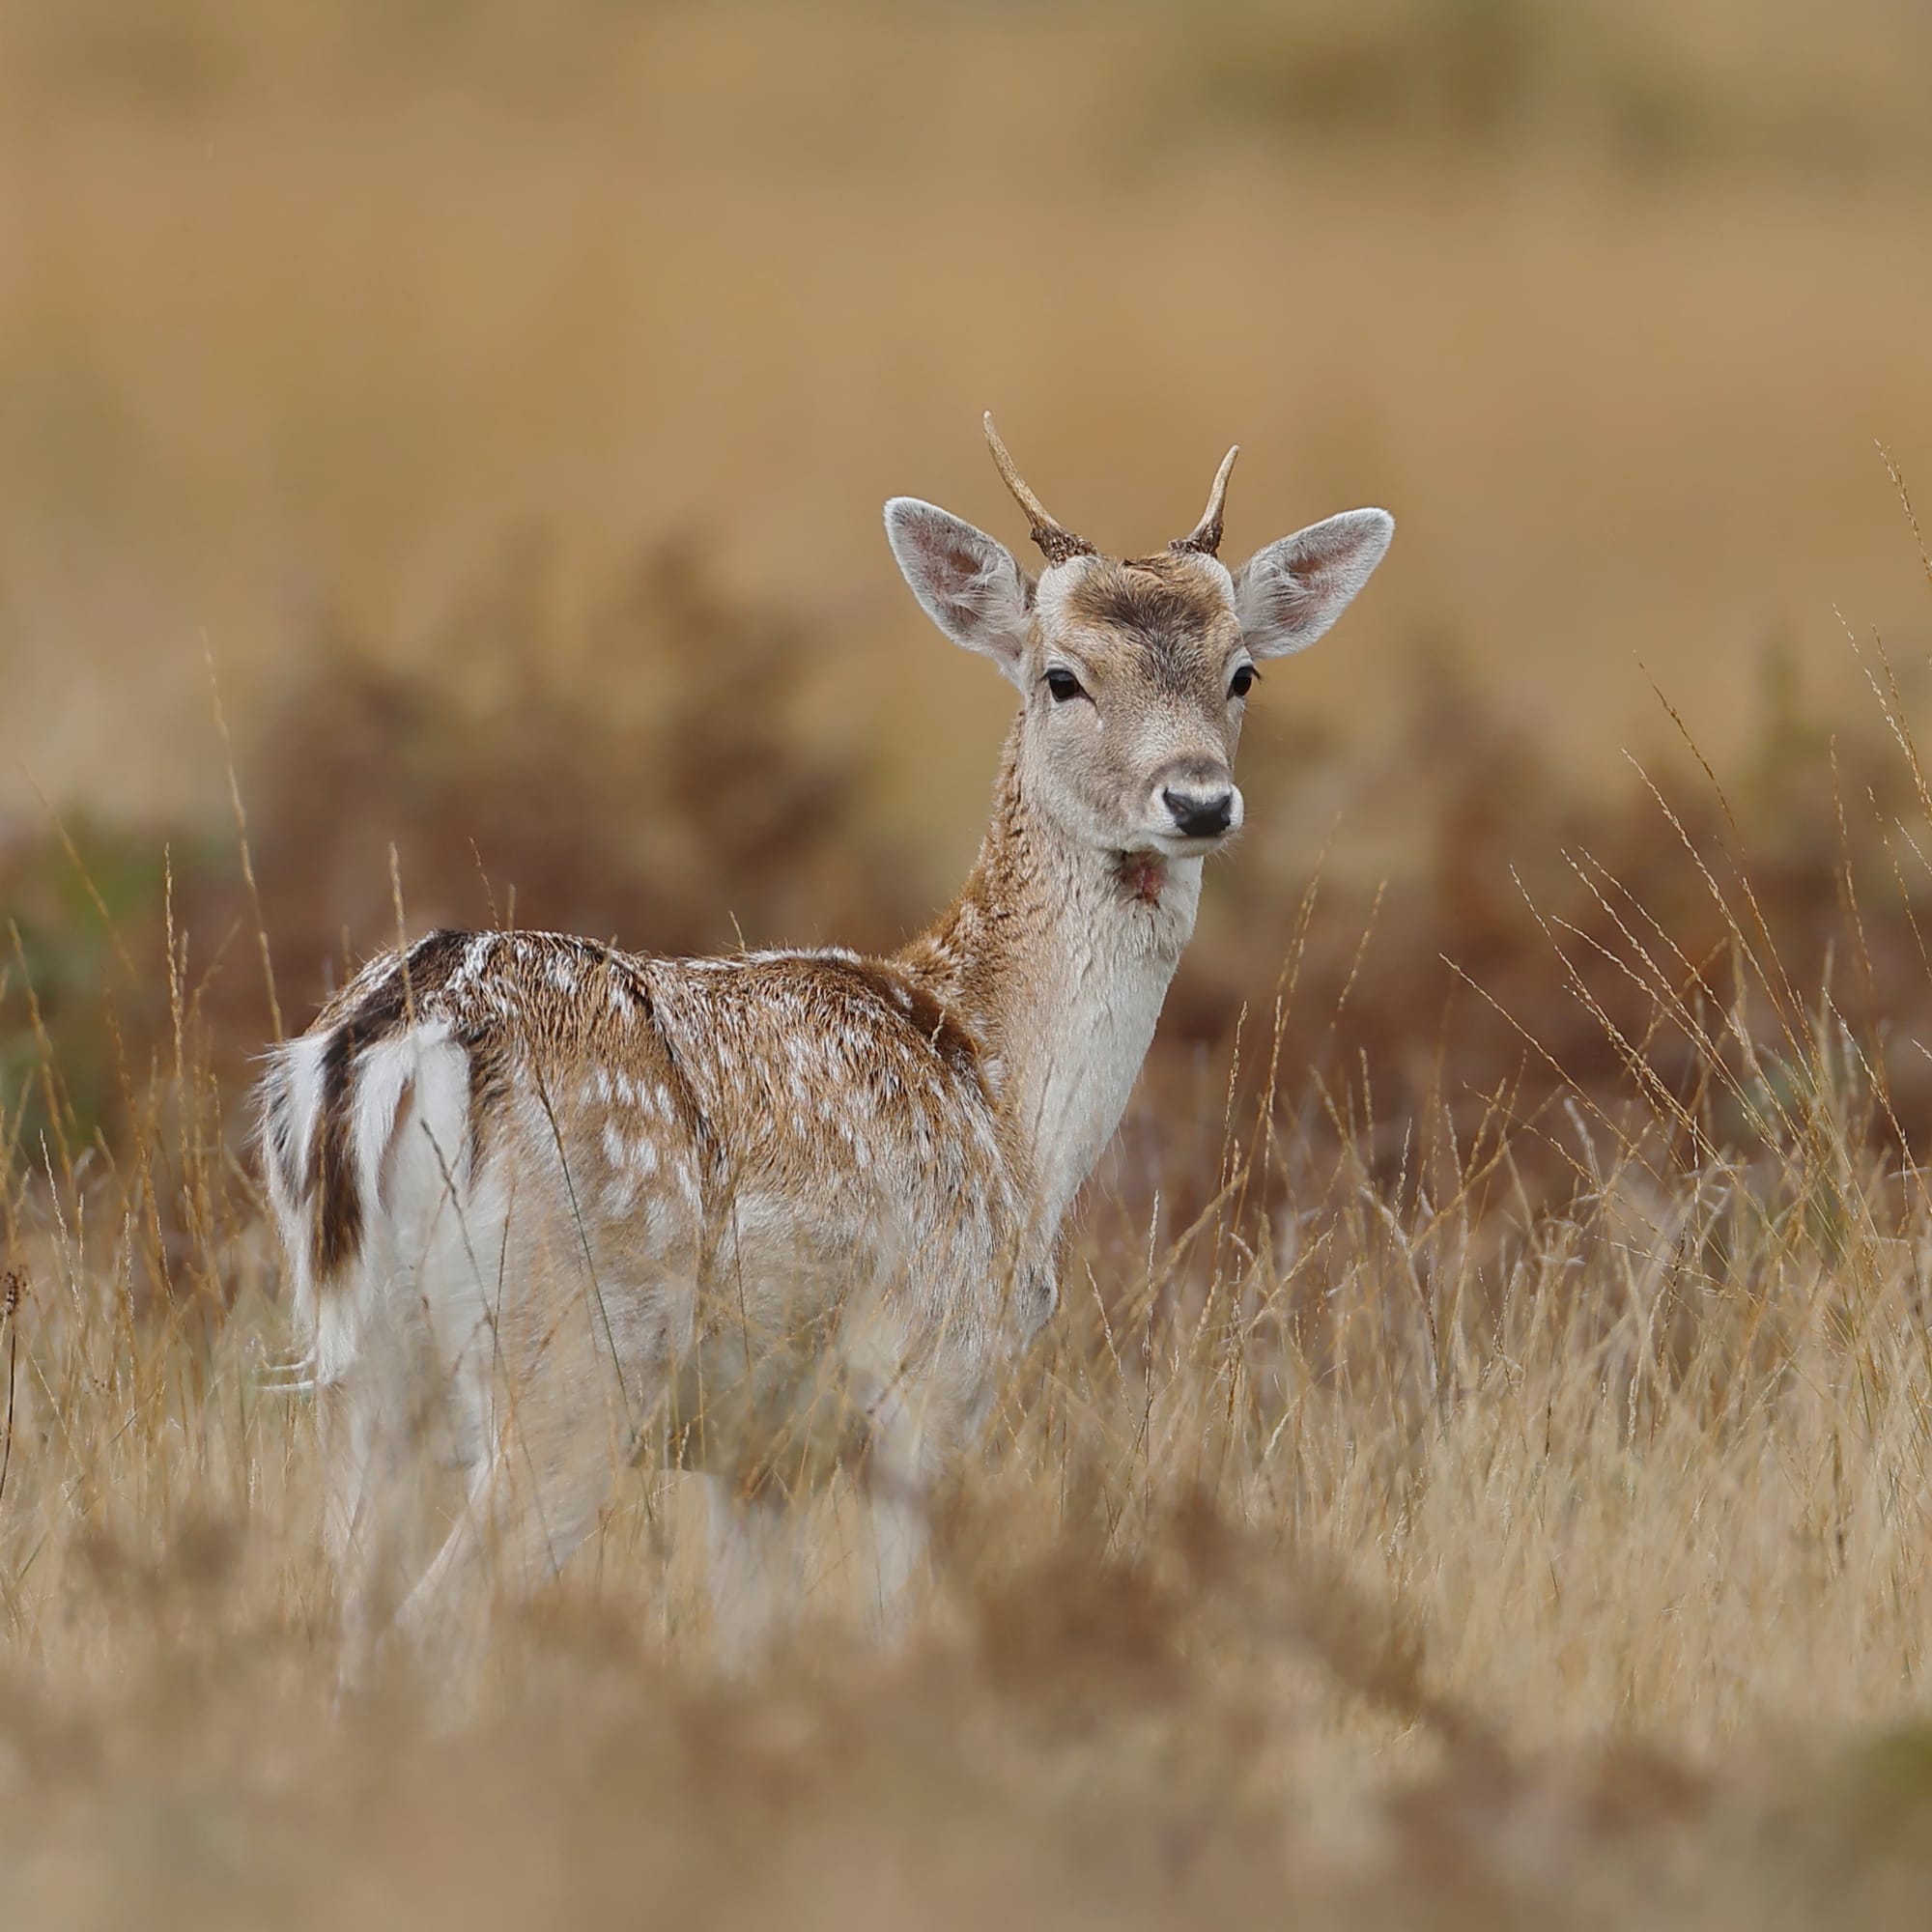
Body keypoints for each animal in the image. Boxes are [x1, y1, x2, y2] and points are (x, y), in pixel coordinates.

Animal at [257, 419, 1399, 1677]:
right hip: (576, 1348)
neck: (1005, 1102)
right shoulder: (932, 1365)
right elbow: (894, 1630)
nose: (1196, 800)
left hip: (360, 1370)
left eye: (1241, 671)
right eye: (1061, 675)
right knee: (441, 1620)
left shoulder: (758, 1452)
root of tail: (386, 1050)